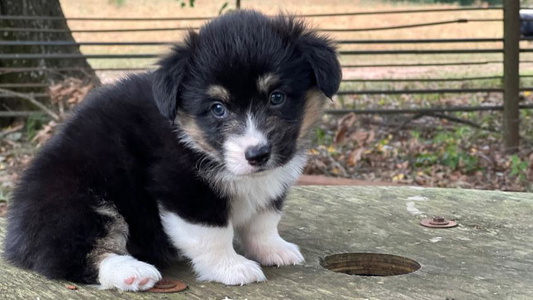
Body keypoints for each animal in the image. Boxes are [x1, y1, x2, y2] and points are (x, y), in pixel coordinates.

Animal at [4, 10, 340, 292]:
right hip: (76, 201)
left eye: (277, 97)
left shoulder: (269, 187)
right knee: (71, 256)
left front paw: (274, 249)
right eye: (217, 108)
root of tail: (16, 236)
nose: (257, 155)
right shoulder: (183, 187)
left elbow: (263, 221)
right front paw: (232, 268)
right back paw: (132, 272)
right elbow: (213, 235)